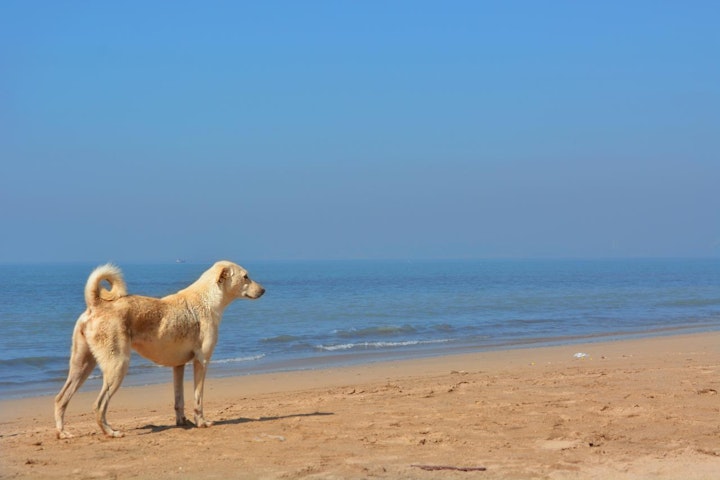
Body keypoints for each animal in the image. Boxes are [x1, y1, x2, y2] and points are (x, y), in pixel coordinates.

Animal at [54, 262, 264, 438]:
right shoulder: (201, 362)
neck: (207, 299)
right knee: (98, 406)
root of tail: (96, 304)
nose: (263, 290)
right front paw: (202, 422)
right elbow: (198, 399)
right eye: (246, 276)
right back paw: (111, 432)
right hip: (117, 366)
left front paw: (182, 422)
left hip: (81, 366)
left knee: (60, 399)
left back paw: (63, 433)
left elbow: (179, 400)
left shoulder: (178, 366)